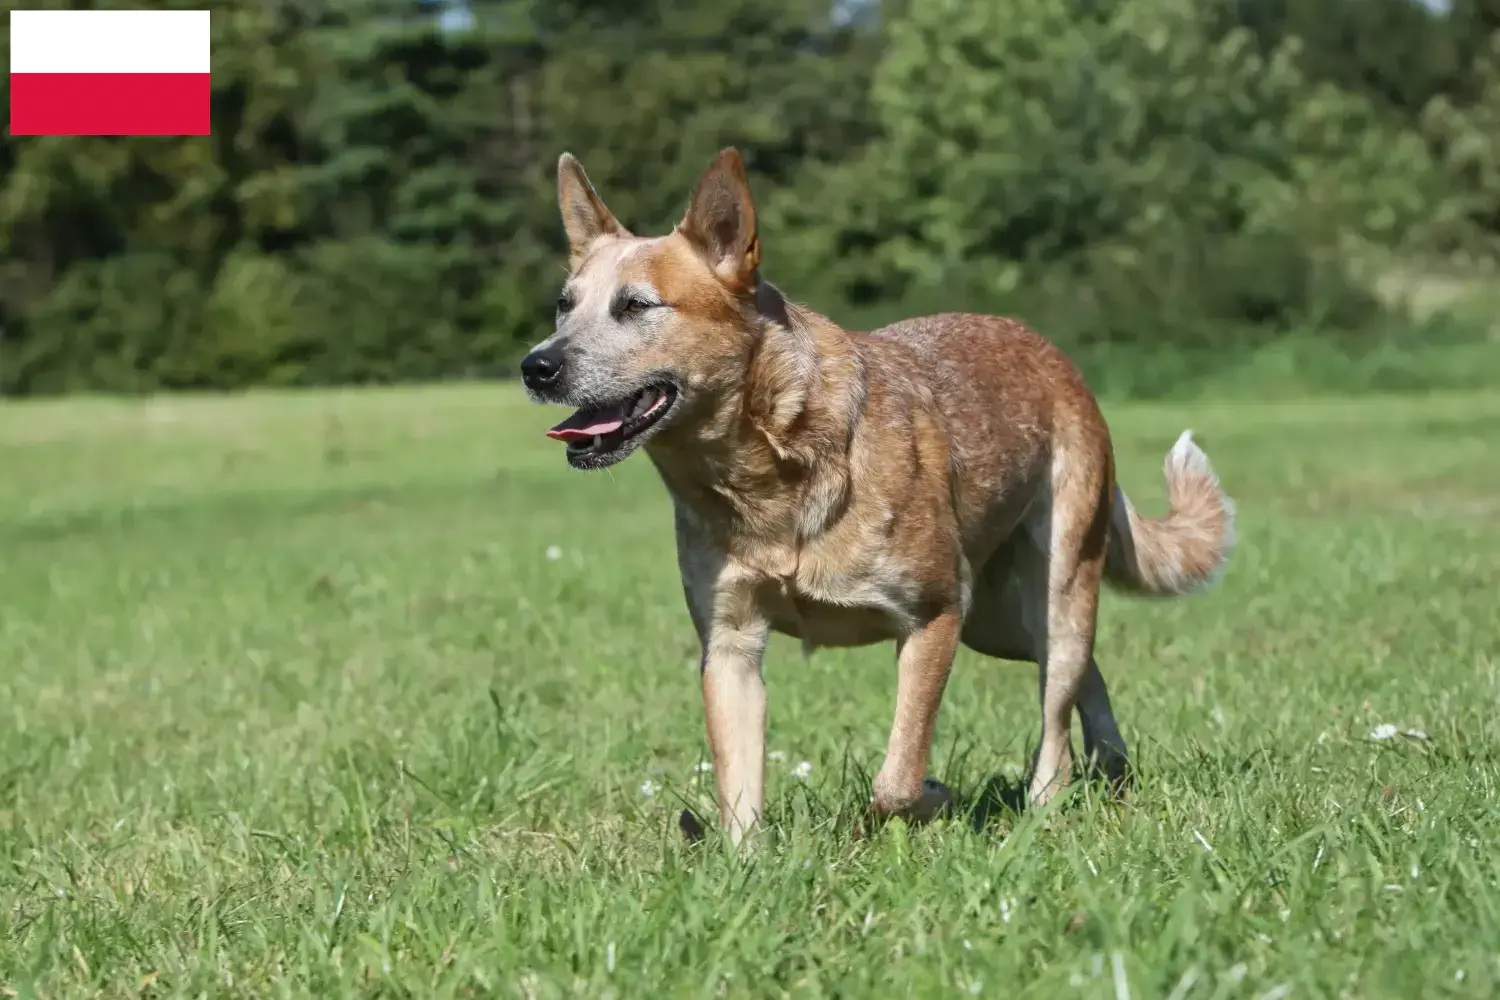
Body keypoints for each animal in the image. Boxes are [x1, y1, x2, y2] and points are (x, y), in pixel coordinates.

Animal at [522, 144, 1236, 839]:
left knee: (1056, 709)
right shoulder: (730, 645)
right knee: (1084, 672)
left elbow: (898, 778)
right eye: (564, 304)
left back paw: (1046, 802)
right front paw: (745, 863)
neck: (766, 474)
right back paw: (1112, 762)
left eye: (637, 305)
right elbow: (739, 797)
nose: (536, 365)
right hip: (998, 622)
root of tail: (1057, 356)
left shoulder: (934, 615)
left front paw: (934, 798)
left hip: (1050, 591)